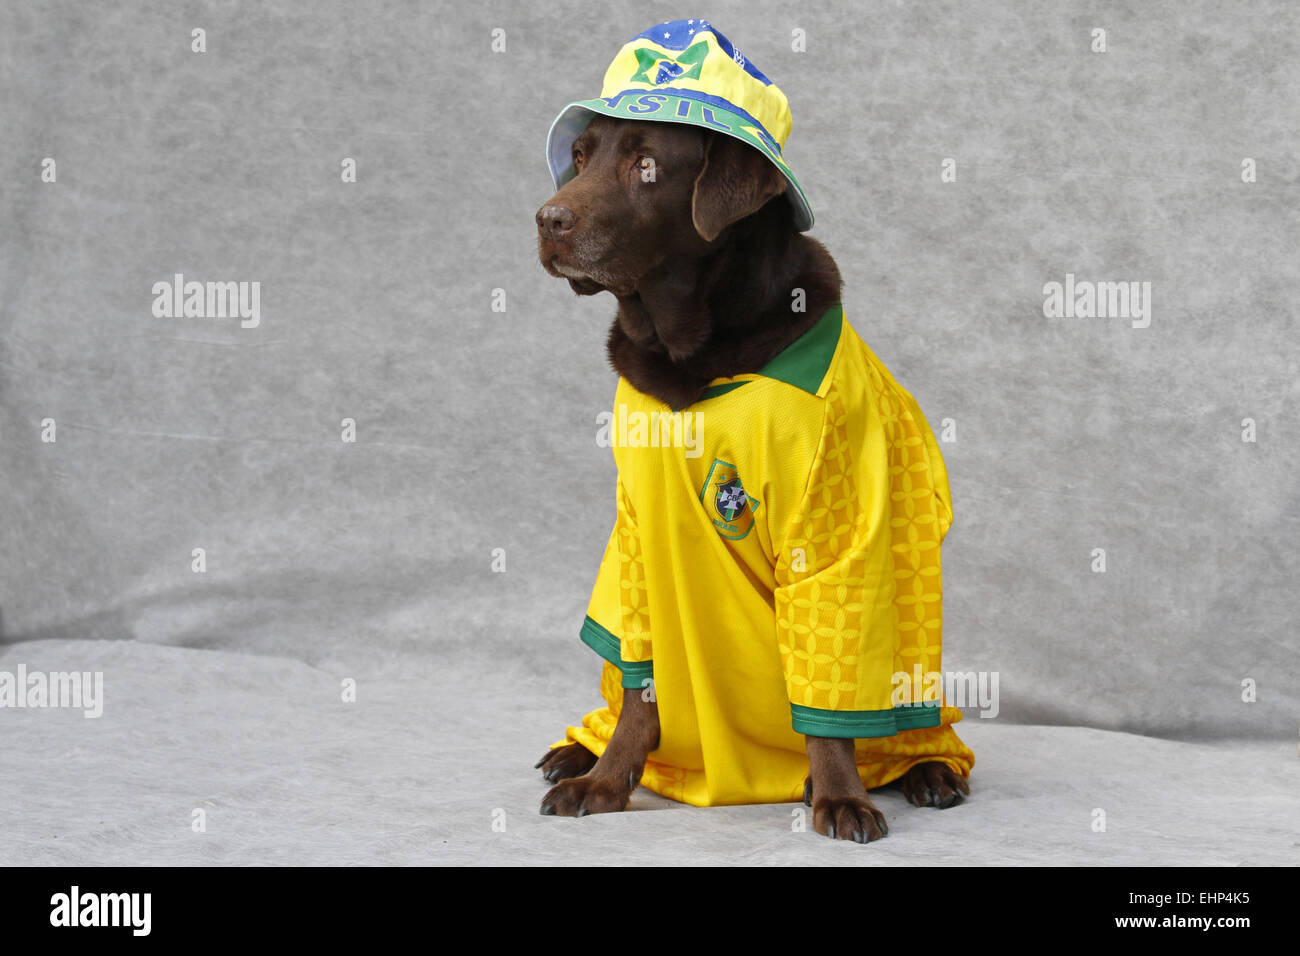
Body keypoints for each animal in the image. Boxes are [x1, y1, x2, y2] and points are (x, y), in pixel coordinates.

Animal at [533, 20, 972, 842]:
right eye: (580, 157)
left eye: (647, 165)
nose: (548, 220)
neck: (692, 353)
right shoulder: (638, 542)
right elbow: (640, 695)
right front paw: (606, 781)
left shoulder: (832, 533)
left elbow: (827, 701)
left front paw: (840, 796)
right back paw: (577, 749)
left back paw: (927, 771)